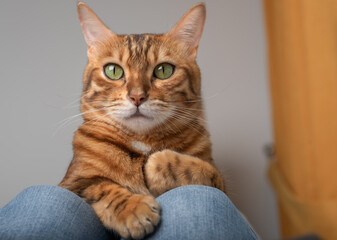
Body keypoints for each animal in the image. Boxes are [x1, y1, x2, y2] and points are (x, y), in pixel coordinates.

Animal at [59, 2, 224, 240]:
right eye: (113, 70)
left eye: (164, 70)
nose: (137, 96)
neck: (144, 142)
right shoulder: (71, 183)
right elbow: (99, 186)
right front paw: (132, 209)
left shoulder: (222, 186)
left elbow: (208, 172)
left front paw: (158, 163)